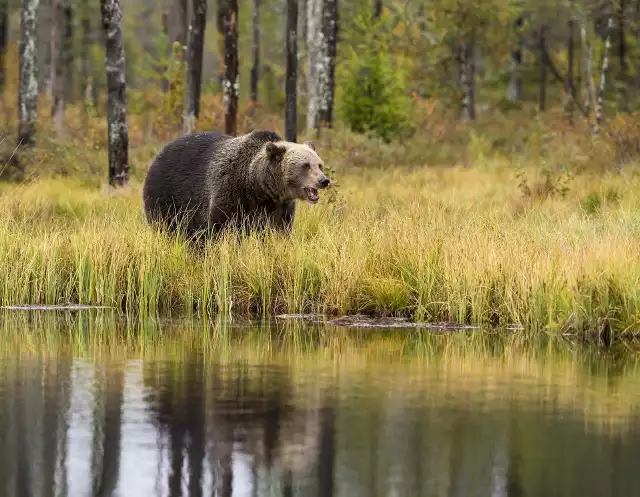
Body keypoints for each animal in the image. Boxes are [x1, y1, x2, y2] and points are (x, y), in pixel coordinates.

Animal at [143, 129, 332, 239]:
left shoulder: (280, 207)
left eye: (319, 164)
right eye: (305, 166)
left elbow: (280, 230)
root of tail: (160, 153)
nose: (324, 180)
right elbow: (220, 226)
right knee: (166, 225)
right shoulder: (231, 192)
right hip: (167, 195)